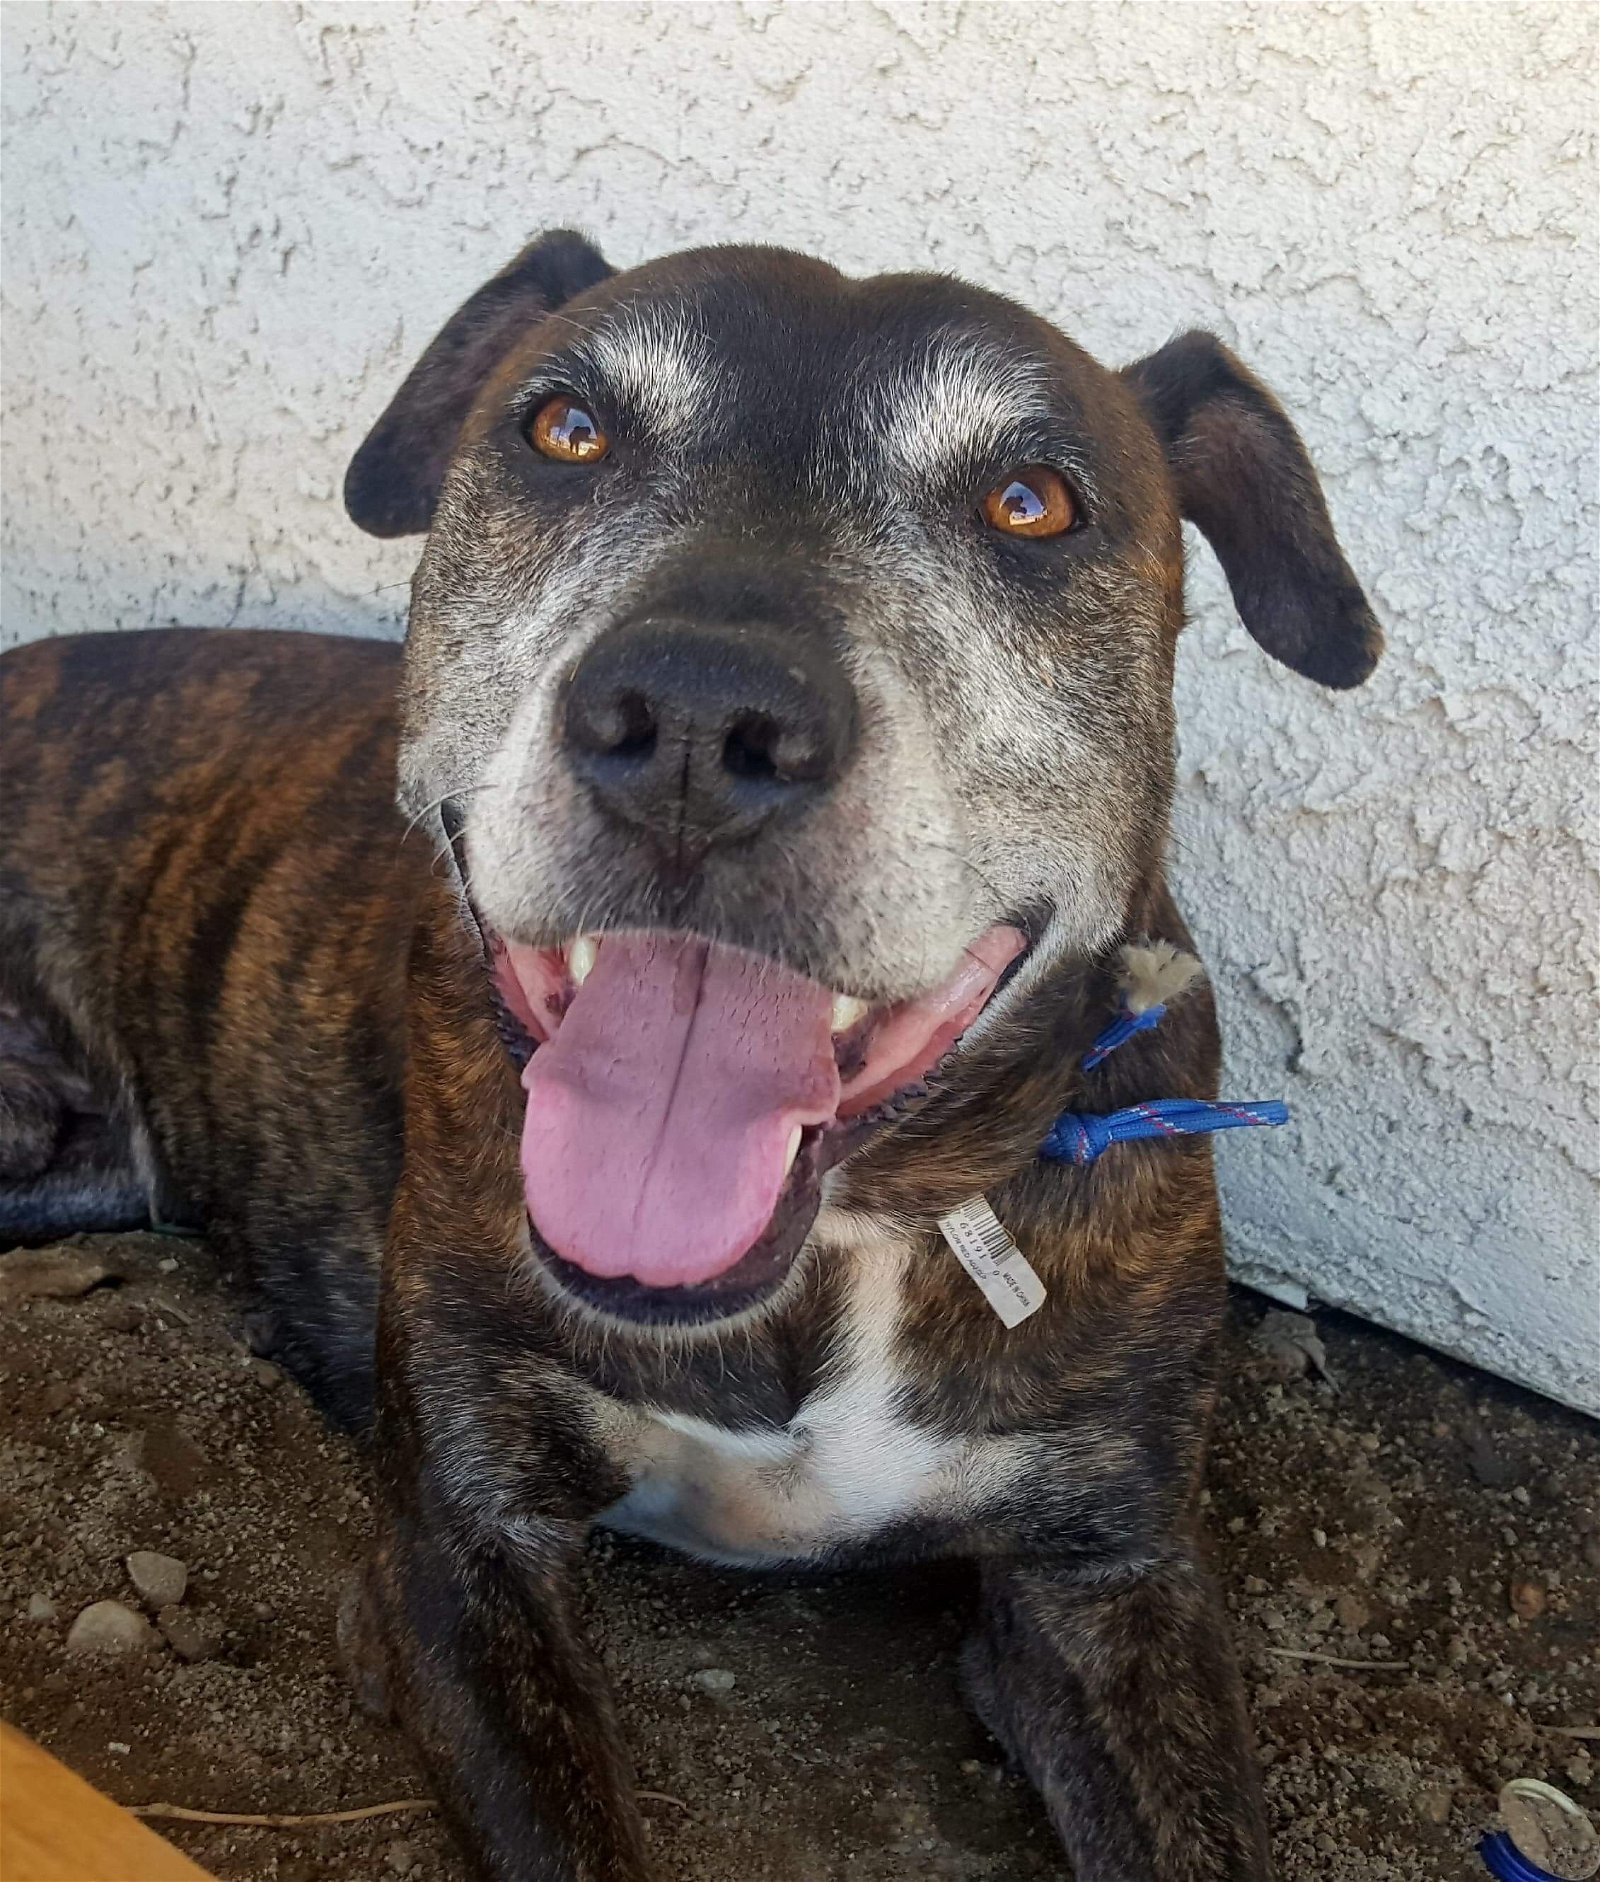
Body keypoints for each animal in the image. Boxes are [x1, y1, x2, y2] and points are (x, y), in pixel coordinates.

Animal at [0, 235, 1370, 1882]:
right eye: (565, 430)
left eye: (1031, 504)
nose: (703, 719)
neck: (846, 1239)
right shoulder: (459, 1552)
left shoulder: (1109, 1576)